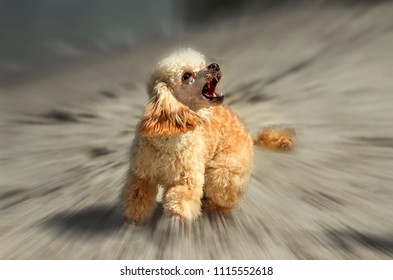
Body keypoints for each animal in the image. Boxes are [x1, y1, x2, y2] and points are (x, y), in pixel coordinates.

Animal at [122, 48, 294, 223]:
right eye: (186, 75)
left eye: (201, 64)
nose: (214, 66)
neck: (170, 138)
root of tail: (248, 133)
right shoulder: (142, 174)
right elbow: (137, 196)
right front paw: (134, 217)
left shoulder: (187, 179)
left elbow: (180, 200)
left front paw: (176, 220)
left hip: (224, 168)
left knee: (225, 191)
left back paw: (215, 207)